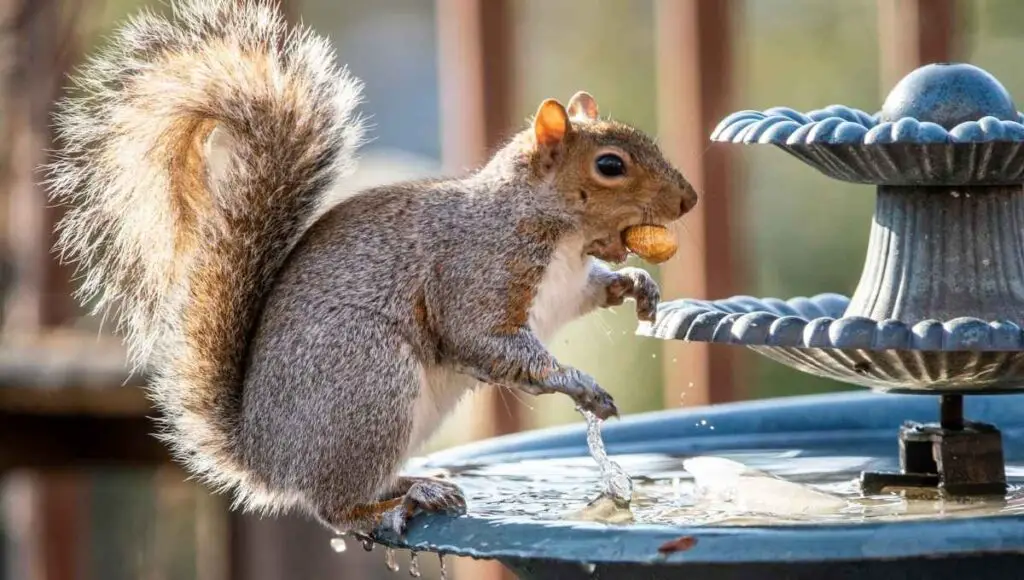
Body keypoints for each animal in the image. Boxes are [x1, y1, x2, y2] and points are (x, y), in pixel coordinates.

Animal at [45, 0, 697, 536]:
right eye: (609, 165)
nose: (688, 200)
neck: (560, 235)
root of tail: (264, 456)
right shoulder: (477, 268)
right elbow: (484, 339)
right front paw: (579, 384)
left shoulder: (565, 288)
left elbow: (594, 291)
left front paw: (637, 286)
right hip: (370, 385)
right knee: (333, 506)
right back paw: (390, 506)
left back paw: (416, 486)